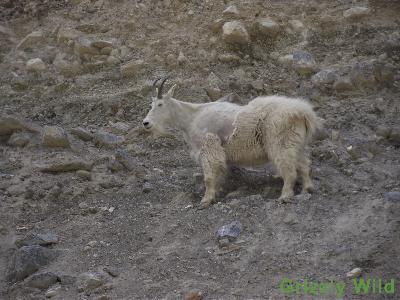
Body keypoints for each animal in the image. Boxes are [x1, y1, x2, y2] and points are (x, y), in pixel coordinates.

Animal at [142, 77, 320, 209]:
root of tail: (303, 113)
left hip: (280, 143)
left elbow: (208, 177)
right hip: (295, 143)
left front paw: (206, 200)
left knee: (289, 169)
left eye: (160, 104)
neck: (191, 118)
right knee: (304, 164)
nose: (146, 123)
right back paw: (307, 189)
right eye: (151, 104)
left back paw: (285, 196)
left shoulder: (209, 148)